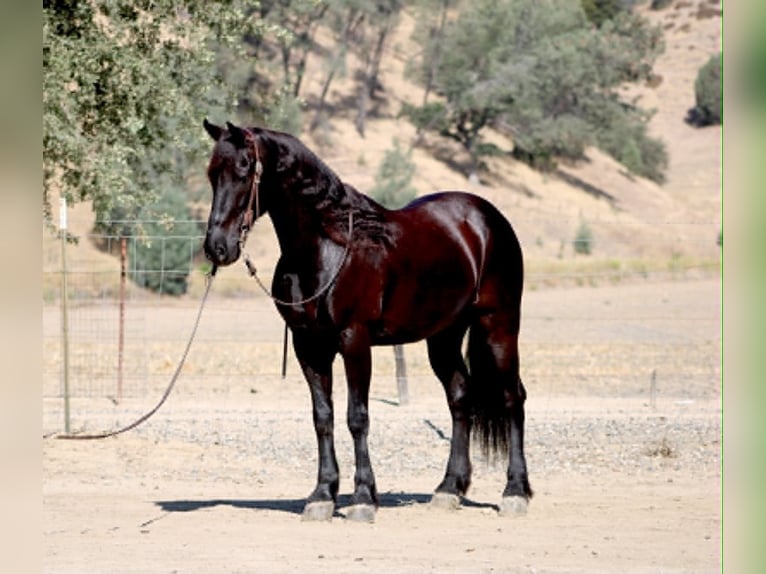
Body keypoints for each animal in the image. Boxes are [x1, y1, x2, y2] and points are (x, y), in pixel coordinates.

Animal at [201, 120, 532, 522]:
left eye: (245, 168)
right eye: (212, 173)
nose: (217, 247)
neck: (325, 249)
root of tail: (488, 219)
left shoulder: (354, 341)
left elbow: (356, 417)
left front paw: (362, 497)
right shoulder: (308, 347)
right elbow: (323, 417)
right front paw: (322, 495)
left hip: (498, 324)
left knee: (512, 398)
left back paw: (515, 492)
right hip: (444, 337)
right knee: (460, 398)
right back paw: (449, 489)